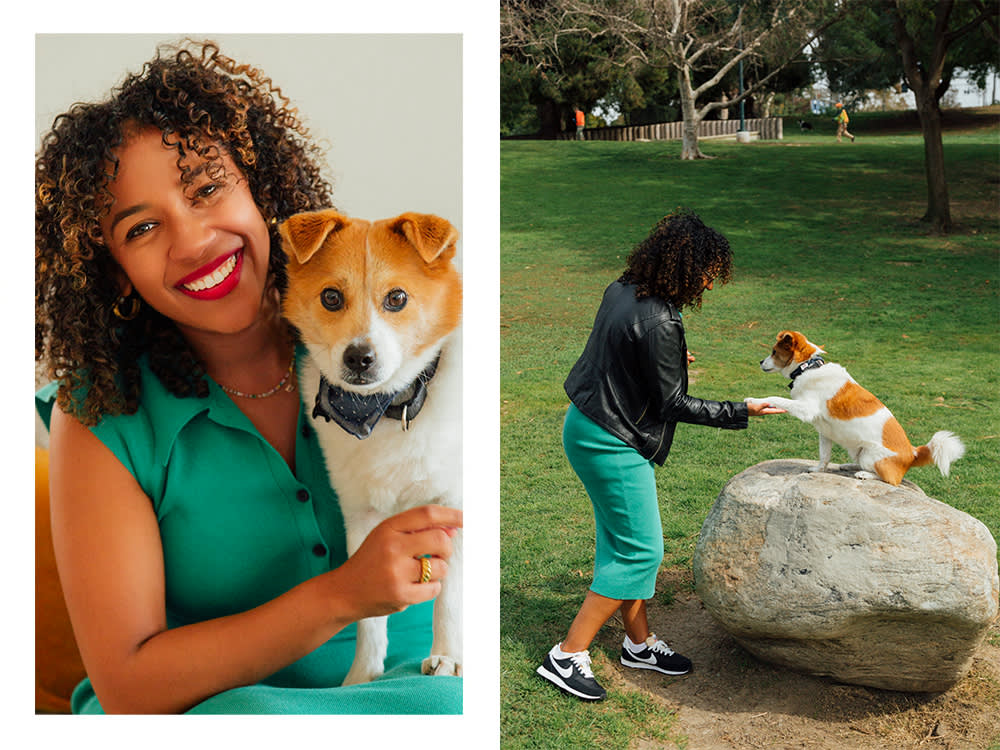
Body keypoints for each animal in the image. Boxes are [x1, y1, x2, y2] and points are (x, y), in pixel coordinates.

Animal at [748, 330, 964, 488]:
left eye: (774, 352)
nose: (760, 362)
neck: (808, 367)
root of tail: (914, 453)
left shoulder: (806, 409)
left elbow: (775, 398)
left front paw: (754, 399)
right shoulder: (824, 431)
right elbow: (824, 456)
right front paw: (818, 470)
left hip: (870, 455)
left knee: (891, 479)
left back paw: (864, 474)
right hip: (859, 451)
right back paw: (848, 466)